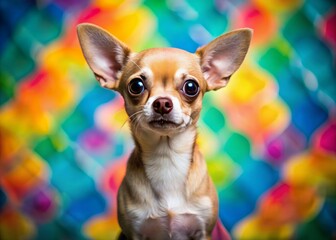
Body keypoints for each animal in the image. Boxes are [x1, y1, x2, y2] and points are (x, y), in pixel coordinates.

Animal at [77, 23, 251, 240]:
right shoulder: (134, 232)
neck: (167, 158)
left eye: (191, 87)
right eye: (136, 85)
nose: (162, 102)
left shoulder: (204, 232)